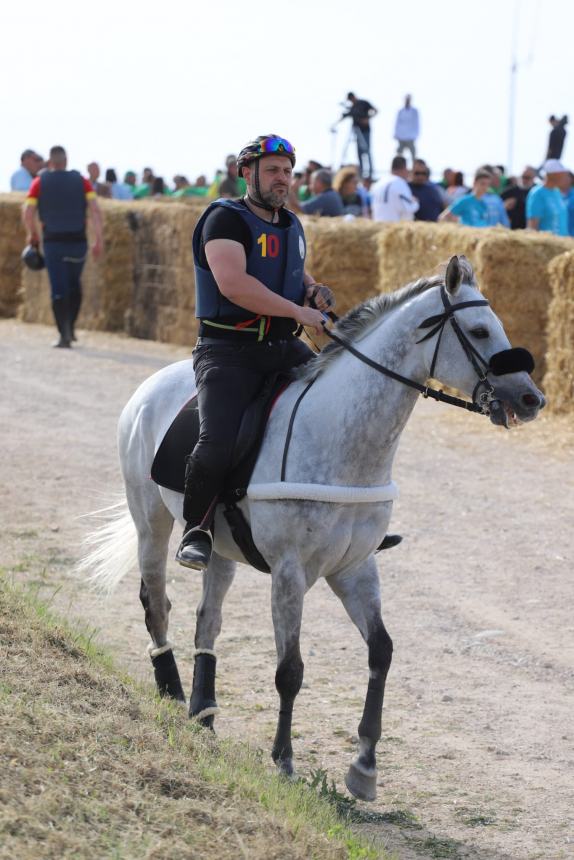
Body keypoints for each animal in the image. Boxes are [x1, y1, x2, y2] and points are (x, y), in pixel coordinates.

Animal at [81, 254, 544, 800]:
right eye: (479, 330)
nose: (532, 398)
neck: (340, 438)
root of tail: (150, 386)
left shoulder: (355, 569)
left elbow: (382, 652)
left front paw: (364, 767)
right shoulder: (289, 573)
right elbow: (290, 670)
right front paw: (283, 760)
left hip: (219, 548)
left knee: (207, 619)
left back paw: (204, 709)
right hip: (150, 520)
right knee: (156, 602)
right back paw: (172, 692)